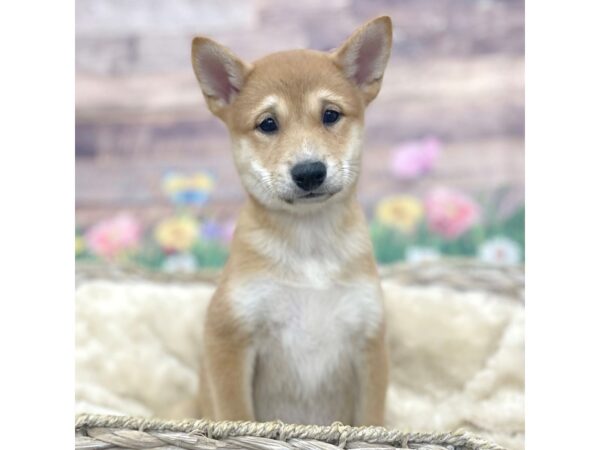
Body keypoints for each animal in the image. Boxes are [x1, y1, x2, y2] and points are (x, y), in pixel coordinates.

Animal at [192, 14, 394, 426]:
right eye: (268, 124)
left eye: (330, 115)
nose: (309, 171)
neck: (309, 245)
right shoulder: (227, 336)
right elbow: (236, 416)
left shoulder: (370, 342)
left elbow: (371, 420)